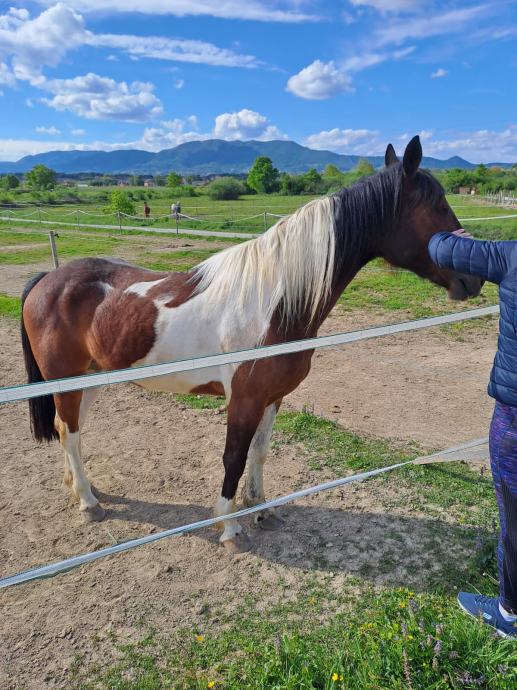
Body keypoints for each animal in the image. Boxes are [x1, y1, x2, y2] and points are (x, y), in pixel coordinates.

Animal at [20, 136, 483, 552]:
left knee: (67, 429)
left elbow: (259, 453)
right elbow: (234, 457)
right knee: (70, 432)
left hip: (91, 378)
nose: (473, 279)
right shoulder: (243, 399)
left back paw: (83, 488)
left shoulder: (272, 396)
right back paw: (88, 502)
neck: (274, 300)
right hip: (67, 380)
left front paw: (260, 509)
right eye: (437, 204)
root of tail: (47, 280)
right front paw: (229, 527)